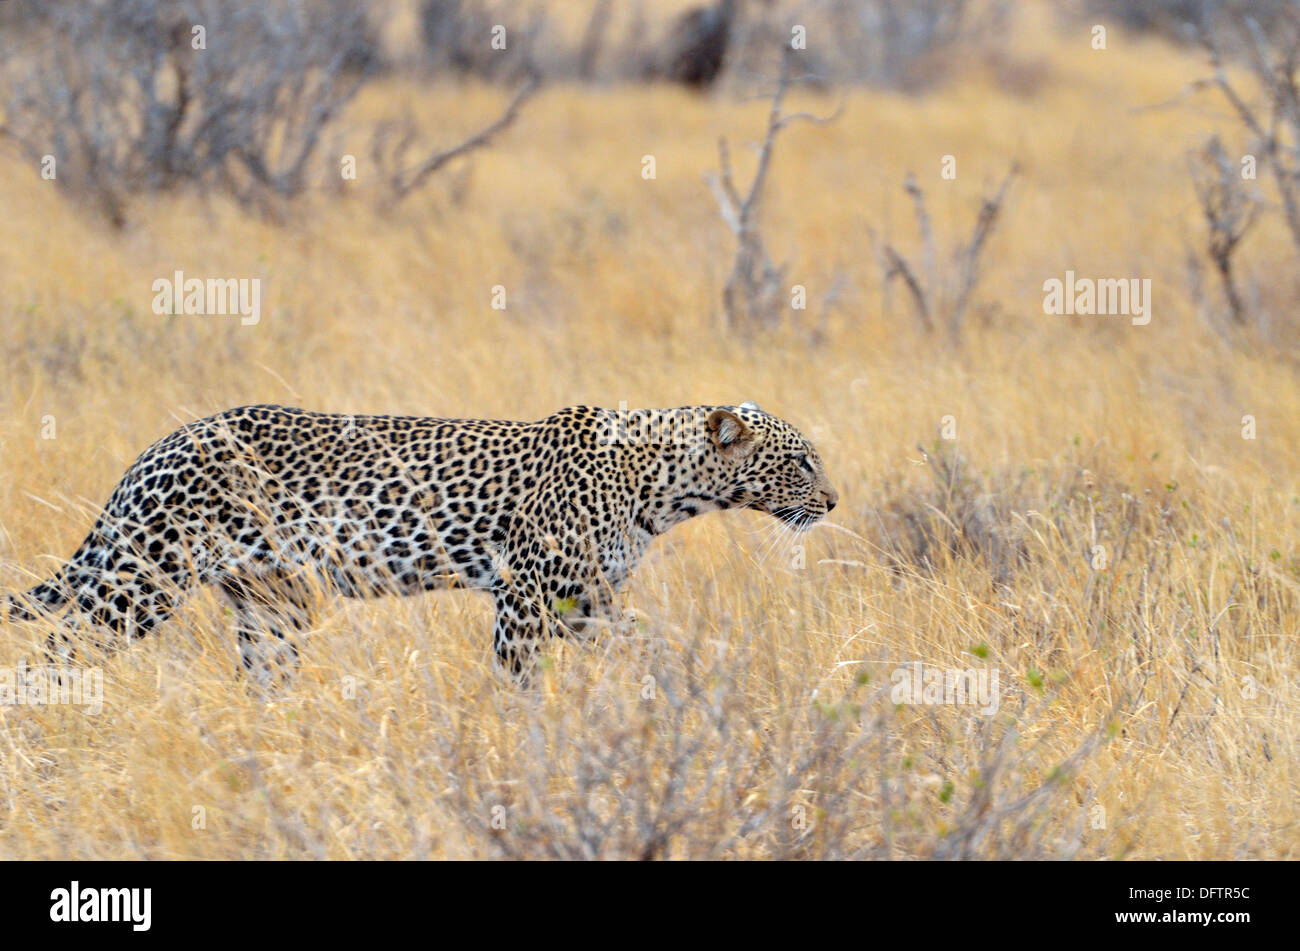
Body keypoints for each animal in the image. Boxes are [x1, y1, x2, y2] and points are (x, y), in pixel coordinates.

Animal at [5, 400, 837, 685]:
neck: (662, 487)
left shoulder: (587, 601)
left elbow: (652, 648)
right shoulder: (527, 596)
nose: (833, 500)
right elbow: (518, 681)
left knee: (265, 677)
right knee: (55, 654)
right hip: (141, 580)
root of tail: (158, 446)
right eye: (800, 461)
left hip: (272, 602)